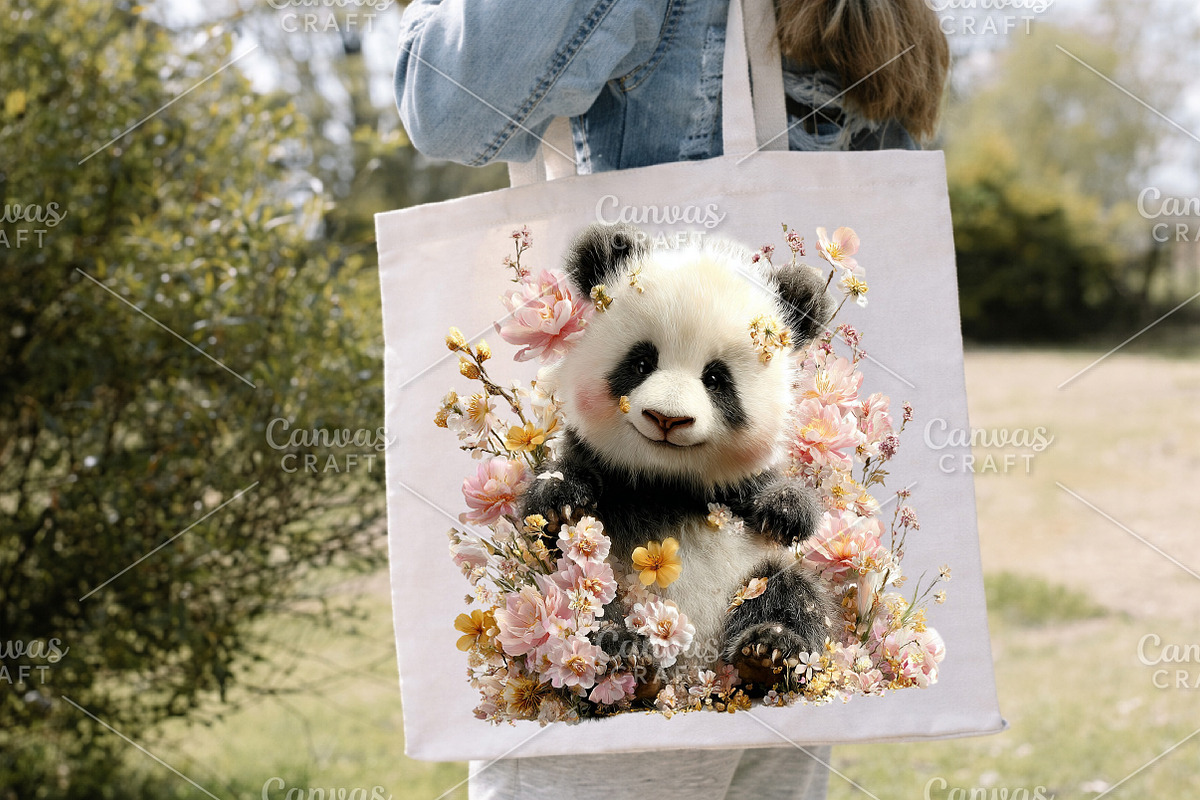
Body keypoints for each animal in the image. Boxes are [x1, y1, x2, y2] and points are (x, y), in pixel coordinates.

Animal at [520, 222, 836, 688]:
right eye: (641, 362)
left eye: (716, 378)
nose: (667, 419)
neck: (665, 481)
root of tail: (691, 677)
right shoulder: (597, 469)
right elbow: (543, 519)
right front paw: (561, 498)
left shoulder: (736, 488)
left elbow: (781, 506)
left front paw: (783, 510)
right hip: (603, 582)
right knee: (583, 610)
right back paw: (624, 653)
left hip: (753, 579)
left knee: (794, 595)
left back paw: (768, 652)